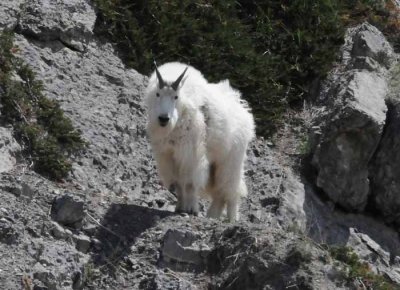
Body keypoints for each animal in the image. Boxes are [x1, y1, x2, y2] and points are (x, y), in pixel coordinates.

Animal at [145, 60, 255, 220]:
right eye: (158, 94)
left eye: (176, 97)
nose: (164, 119)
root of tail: (243, 110)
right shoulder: (169, 154)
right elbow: (178, 183)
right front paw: (179, 208)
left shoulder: (191, 155)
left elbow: (190, 183)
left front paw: (191, 209)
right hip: (215, 163)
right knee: (219, 194)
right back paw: (212, 216)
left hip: (232, 159)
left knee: (231, 189)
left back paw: (232, 219)